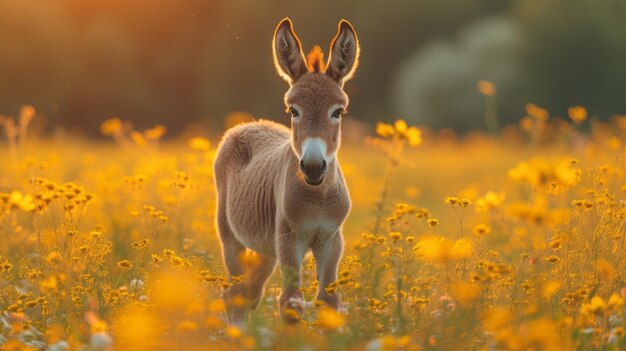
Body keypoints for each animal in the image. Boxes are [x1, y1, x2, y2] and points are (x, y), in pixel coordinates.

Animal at [214, 17, 360, 324]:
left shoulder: (331, 240)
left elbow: (328, 300)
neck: (317, 197)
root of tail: (251, 123)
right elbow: (291, 301)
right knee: (234, 296)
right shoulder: (290, 239)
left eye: (338, 112)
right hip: (231, 236)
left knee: (250, 294)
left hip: (265, 248)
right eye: (293, 111)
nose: (314, 166)